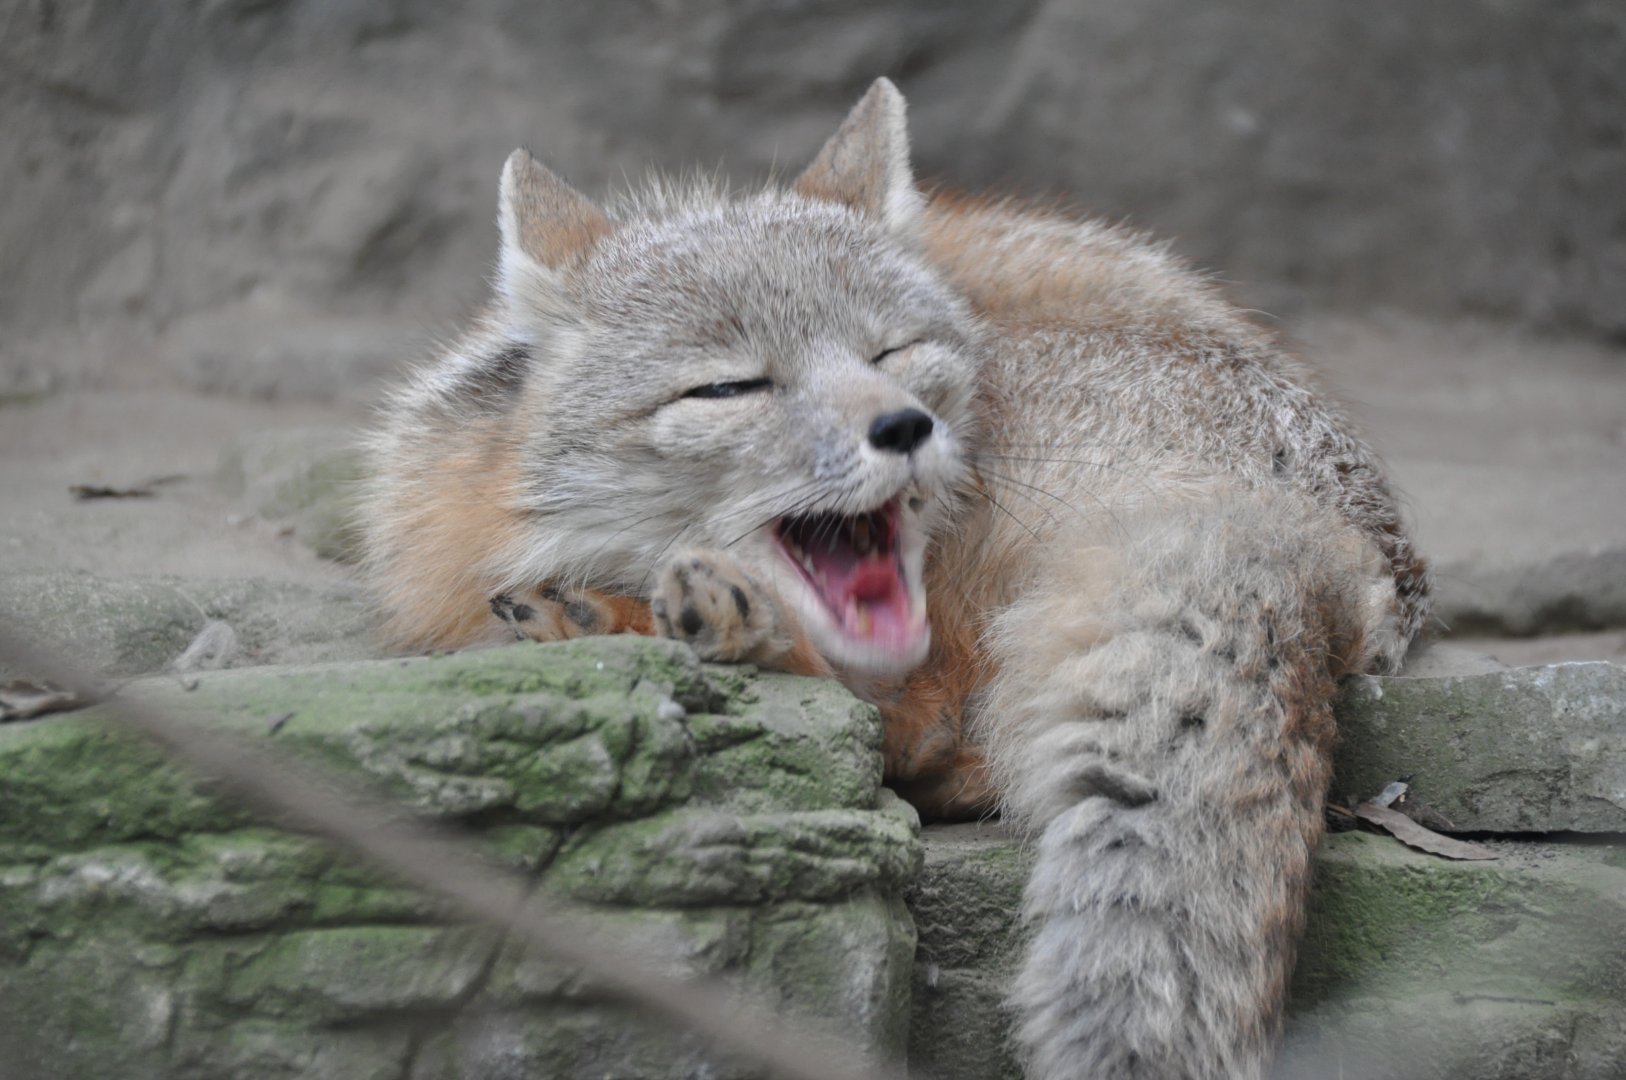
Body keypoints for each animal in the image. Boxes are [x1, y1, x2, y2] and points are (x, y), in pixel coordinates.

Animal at [361, 79, 1430, 1079]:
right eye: (731, 386)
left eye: (892, 352)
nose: (905, 424)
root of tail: (1311, 527)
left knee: (923, 715)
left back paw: (686, 623)